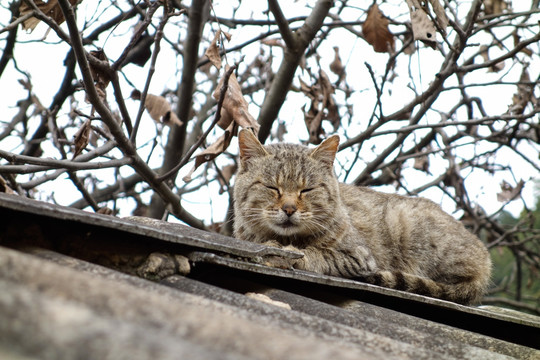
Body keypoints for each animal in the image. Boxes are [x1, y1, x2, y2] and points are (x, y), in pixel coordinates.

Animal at [234, 129, 492, 304]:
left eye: (306, 190)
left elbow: (318, 254)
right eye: (272, 187)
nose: (289, 209)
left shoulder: (359, 257)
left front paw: (287, 252)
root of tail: (484, 257)